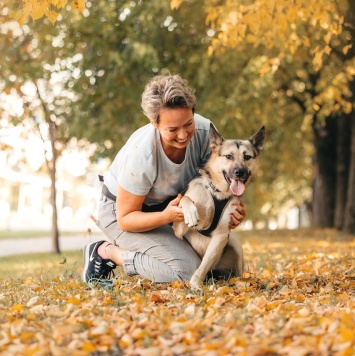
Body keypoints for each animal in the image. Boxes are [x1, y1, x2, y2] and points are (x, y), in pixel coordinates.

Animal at [172, 124, 264, 290]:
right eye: (229, 156)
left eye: (247, 157)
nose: (239, 172)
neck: (218, 194)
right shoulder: (179, 228)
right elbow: (184, 198)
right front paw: (191, 212)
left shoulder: (221, 236)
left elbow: (204, 264)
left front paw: (196, 284)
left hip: (233, 241)